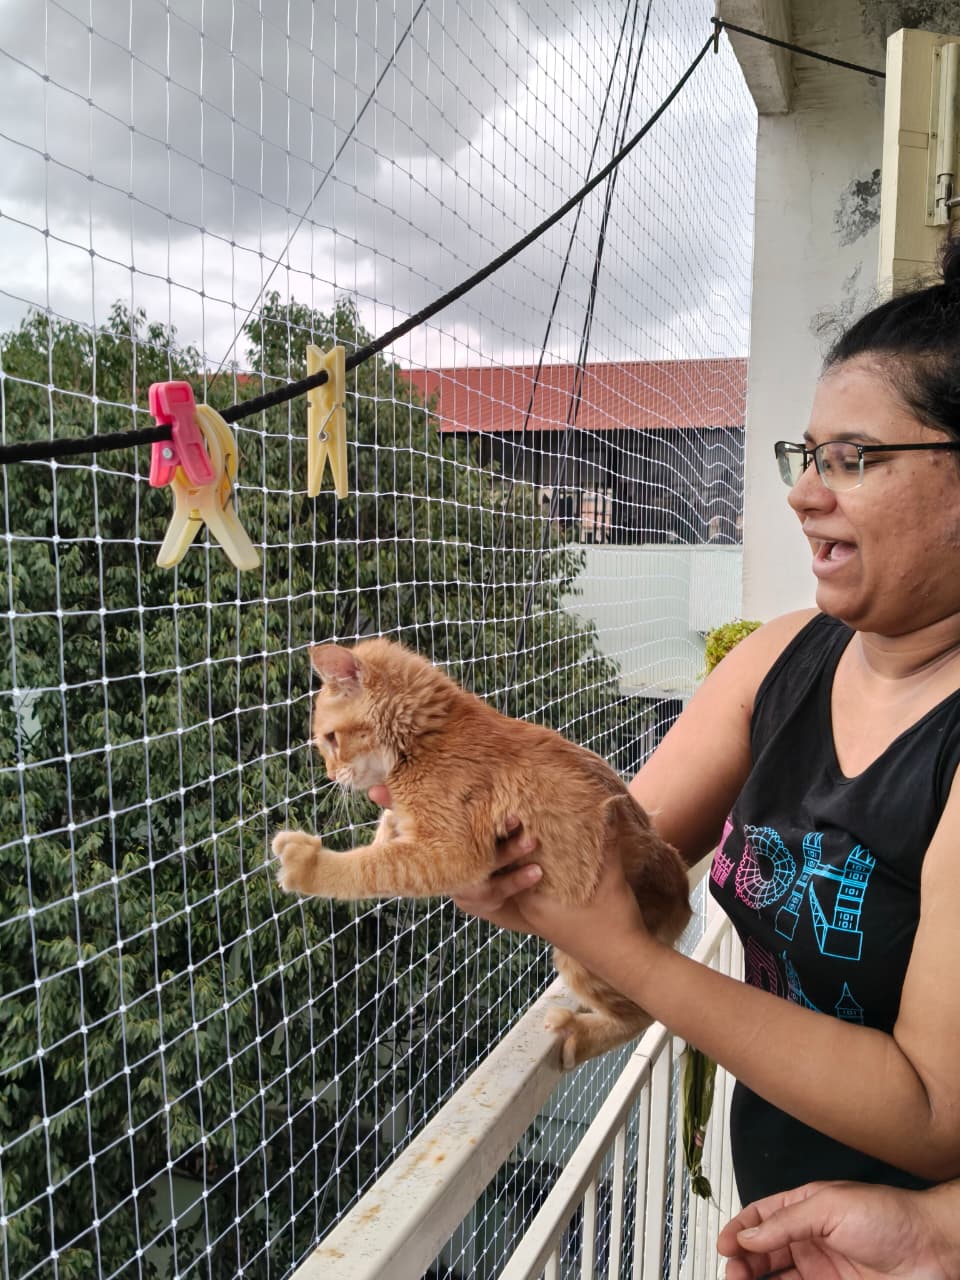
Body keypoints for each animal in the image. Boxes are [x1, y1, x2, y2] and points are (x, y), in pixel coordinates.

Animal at [272, 638, 691, 1068]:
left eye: (330, 738)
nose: (329, 774)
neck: (427, 739)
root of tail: (683, 897)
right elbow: (383, 840)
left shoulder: (451, 852)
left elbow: (371, 868)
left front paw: (309, 865)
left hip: (586, 959)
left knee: (640, 1015)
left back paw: (579, 1036)